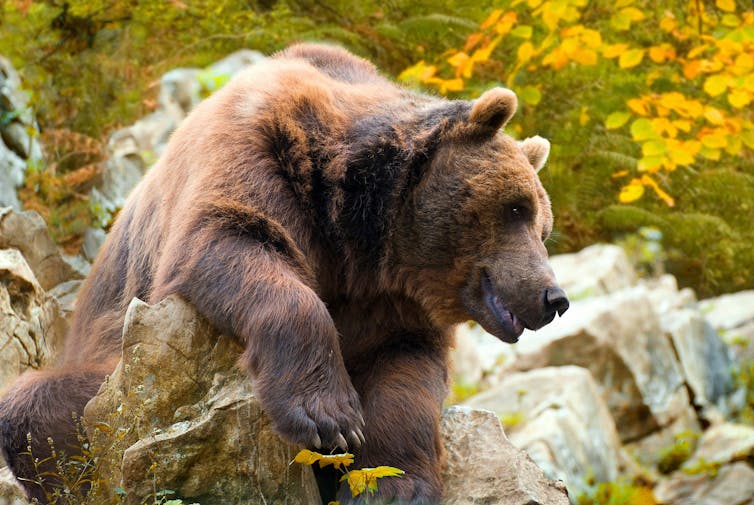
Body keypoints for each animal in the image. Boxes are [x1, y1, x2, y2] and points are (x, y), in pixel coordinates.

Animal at [0, 43, 568, 504]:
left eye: (543, 226)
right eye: (515, 209)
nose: (553, 297)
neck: (360, 237)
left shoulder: (394, 302)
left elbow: (408, 374)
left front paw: (392, 484)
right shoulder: (260, 152)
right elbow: (235, 242)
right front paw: (329, 417)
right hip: (114, 376)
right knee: (39, 411)